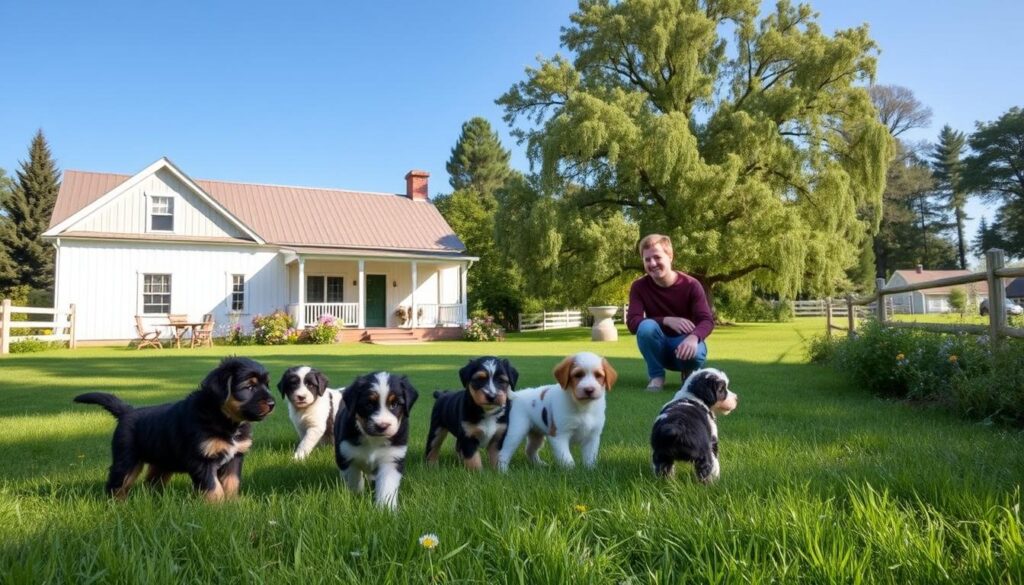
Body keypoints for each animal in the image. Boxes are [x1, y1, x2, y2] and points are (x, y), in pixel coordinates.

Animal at [72, 356, 276, 504]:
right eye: (249, 387)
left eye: (266, 385)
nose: (273, 403)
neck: (225, 419)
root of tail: (127, 411)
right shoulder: (201, 460)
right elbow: (213, 487)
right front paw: (217, 507)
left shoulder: (235, 457)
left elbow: (232, 483)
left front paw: (233, 505)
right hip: (127, 460)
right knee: (117, 485)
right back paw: (117, 506)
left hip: (162, 463)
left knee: (151, 483)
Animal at [333, 372, 417, 510]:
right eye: (369, 404)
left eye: (395, 404)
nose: (382, 426)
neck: (374, 440)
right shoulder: (346, 455)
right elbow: (354, 480)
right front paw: (356, 497)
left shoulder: (392, 458)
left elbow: (386, 487)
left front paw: (386, 509)